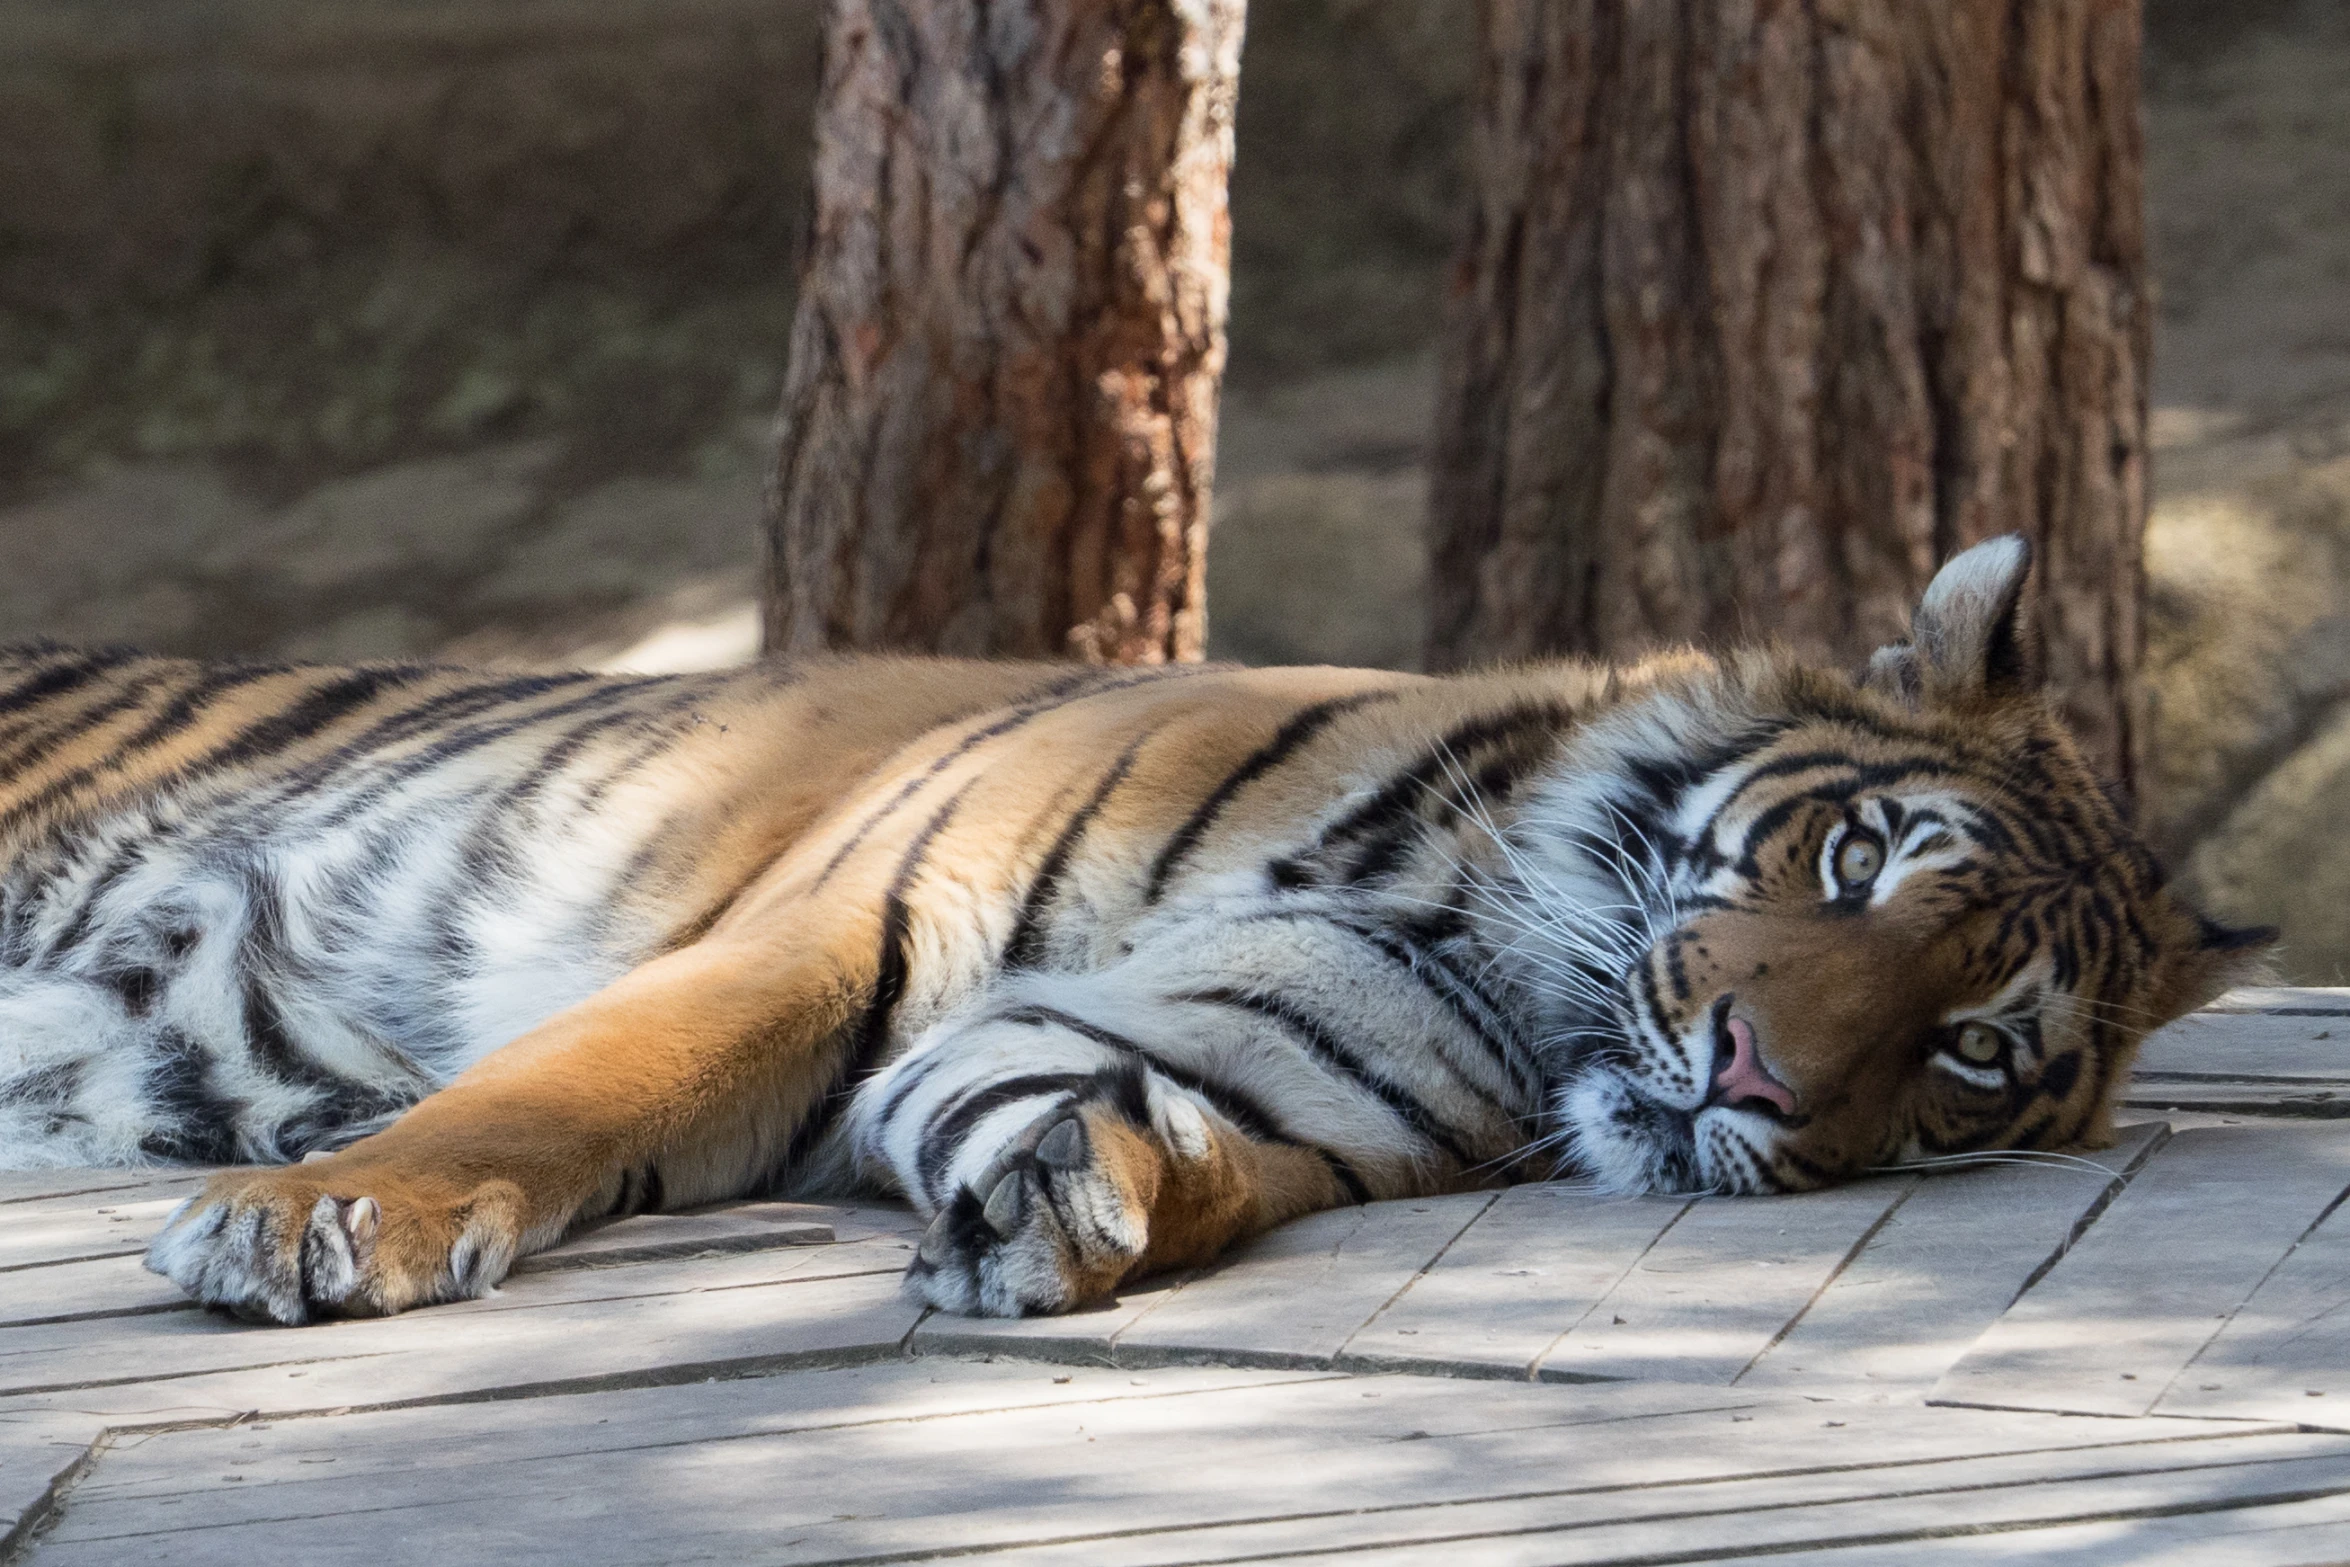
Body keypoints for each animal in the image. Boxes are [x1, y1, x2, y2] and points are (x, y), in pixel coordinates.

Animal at [4, 540, 2274, 1325]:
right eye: (1857, 862)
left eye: (1972, 1047)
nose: (1754, 1081)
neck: (1472, 925)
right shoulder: (833, 923)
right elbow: (559, 1094)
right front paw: (319, 1219)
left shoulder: (1230, 1052)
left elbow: (1148, 1127)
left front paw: (1085, 1200)